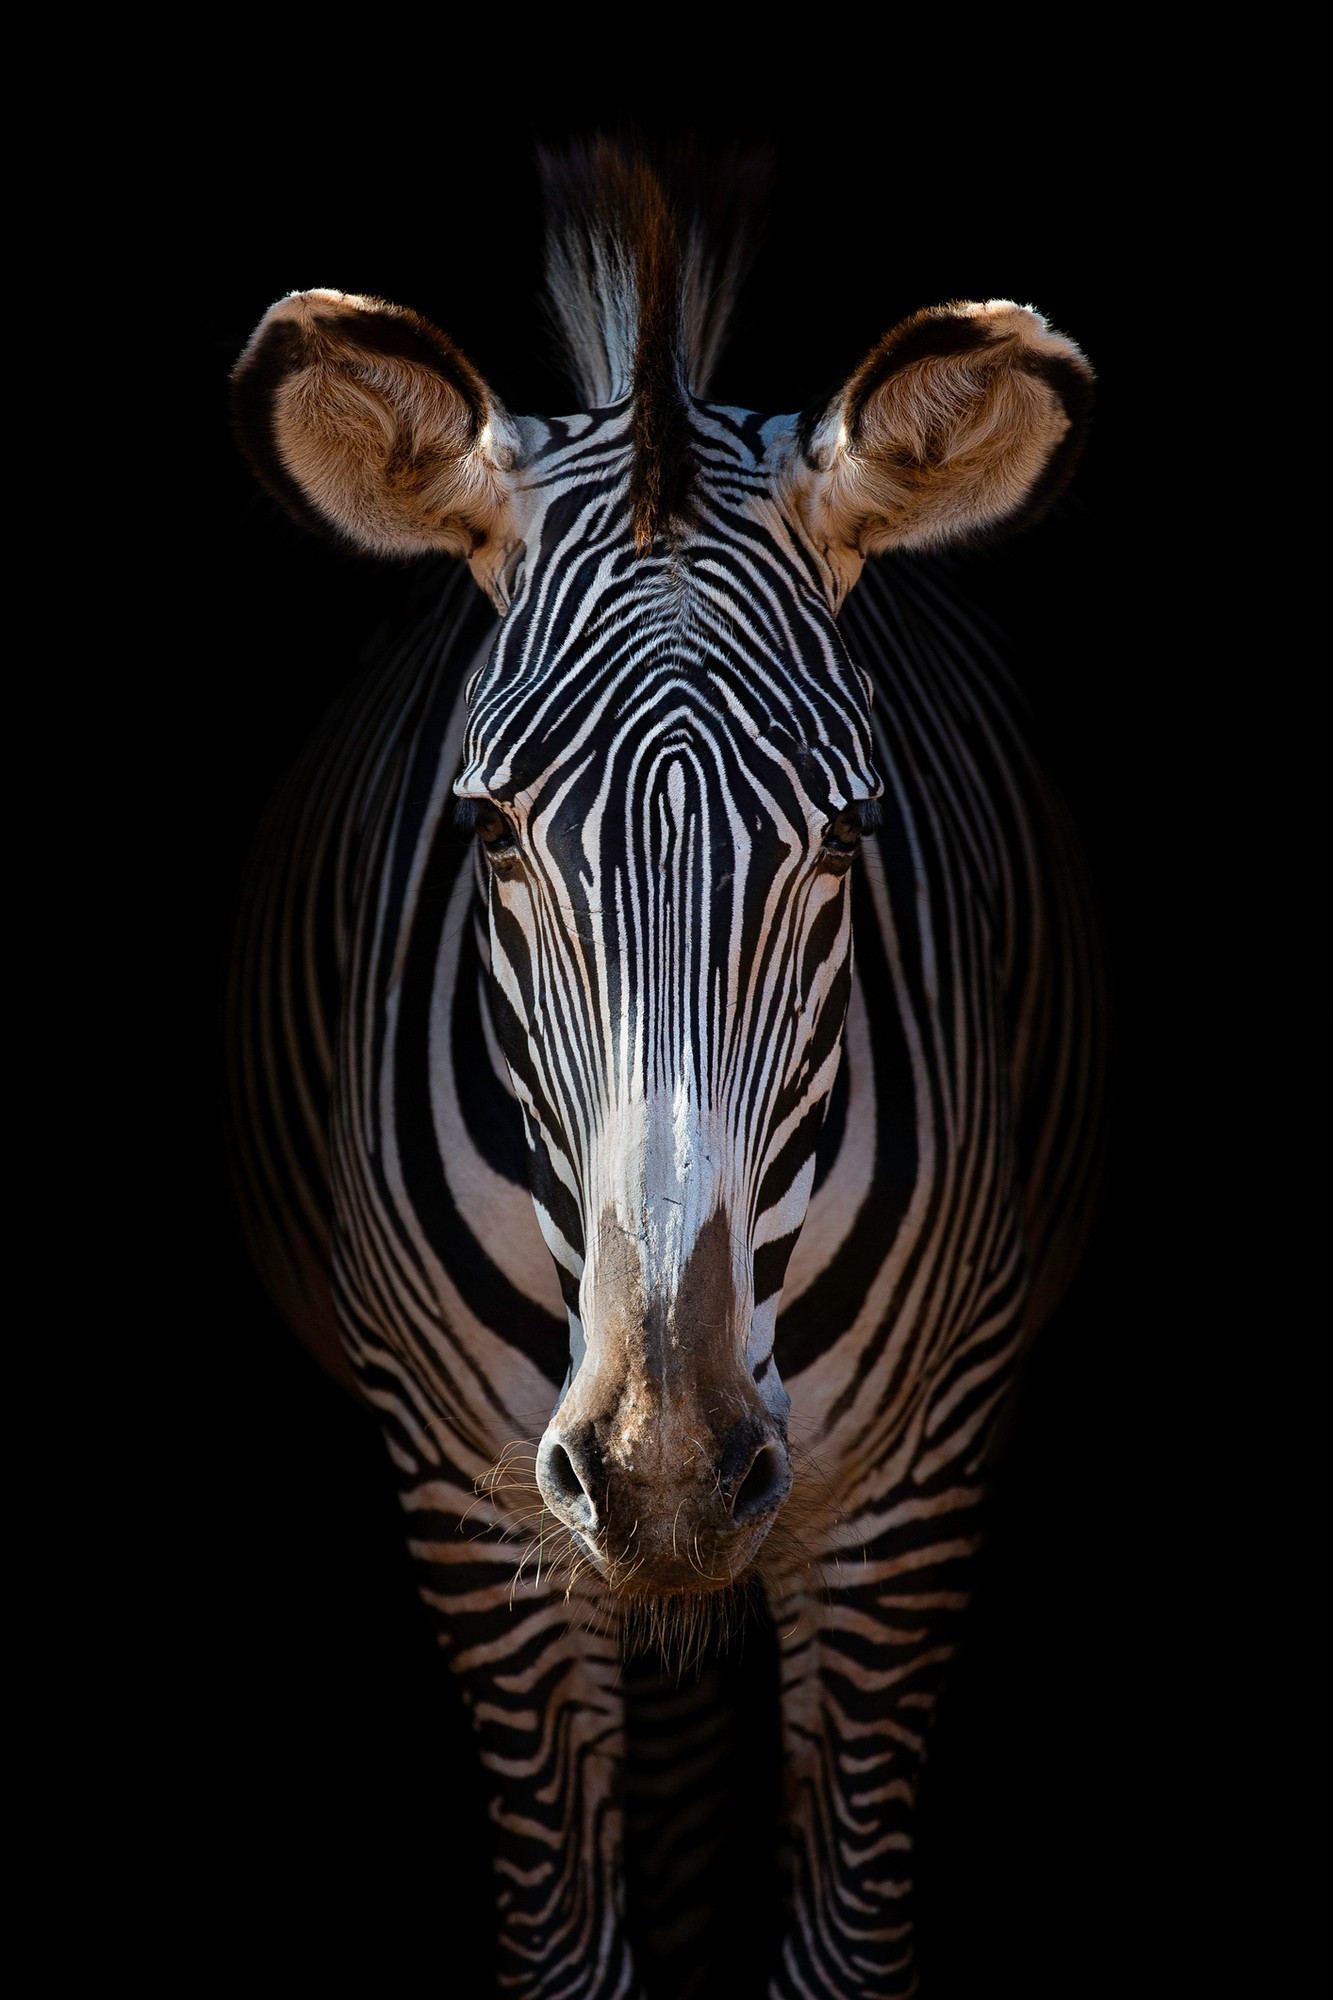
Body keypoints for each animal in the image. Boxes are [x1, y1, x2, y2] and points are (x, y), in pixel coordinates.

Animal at [224, 138, 1106, 1998]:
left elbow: (838, 1946)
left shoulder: (905, 1507)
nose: (663, 1466)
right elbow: (573, 1945)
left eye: (845, 837)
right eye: (488, 835)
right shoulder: (472, 1516)